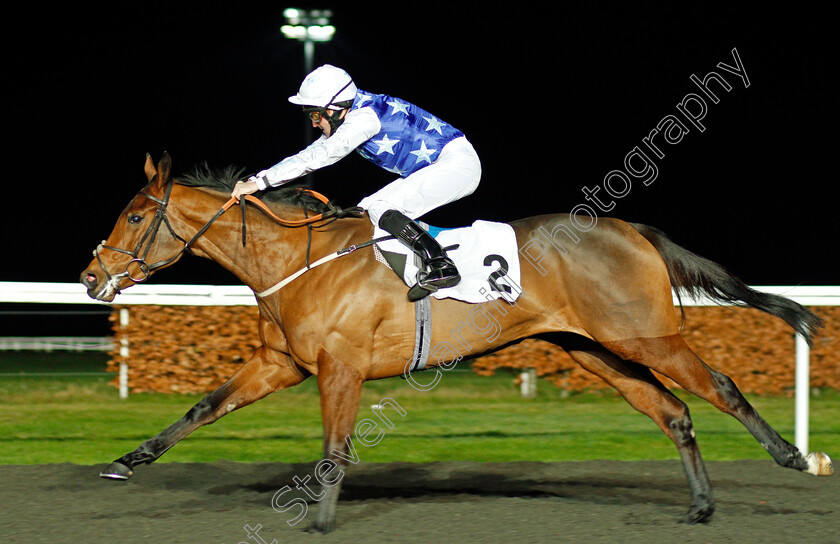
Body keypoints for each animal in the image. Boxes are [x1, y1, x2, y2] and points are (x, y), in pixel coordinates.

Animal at [82, 152, 832, 532]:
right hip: (596, 350)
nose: (91, 276)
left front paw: (320, 518)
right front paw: (125, 460)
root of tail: (635, 231)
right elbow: (203, 408)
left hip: (645, 334)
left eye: (137, 215)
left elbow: (335, 447)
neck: (296, 260)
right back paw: (701, 505)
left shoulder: (340, 366)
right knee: (674, 412)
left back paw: (797, 457)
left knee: (722, 388)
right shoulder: (283, 363)